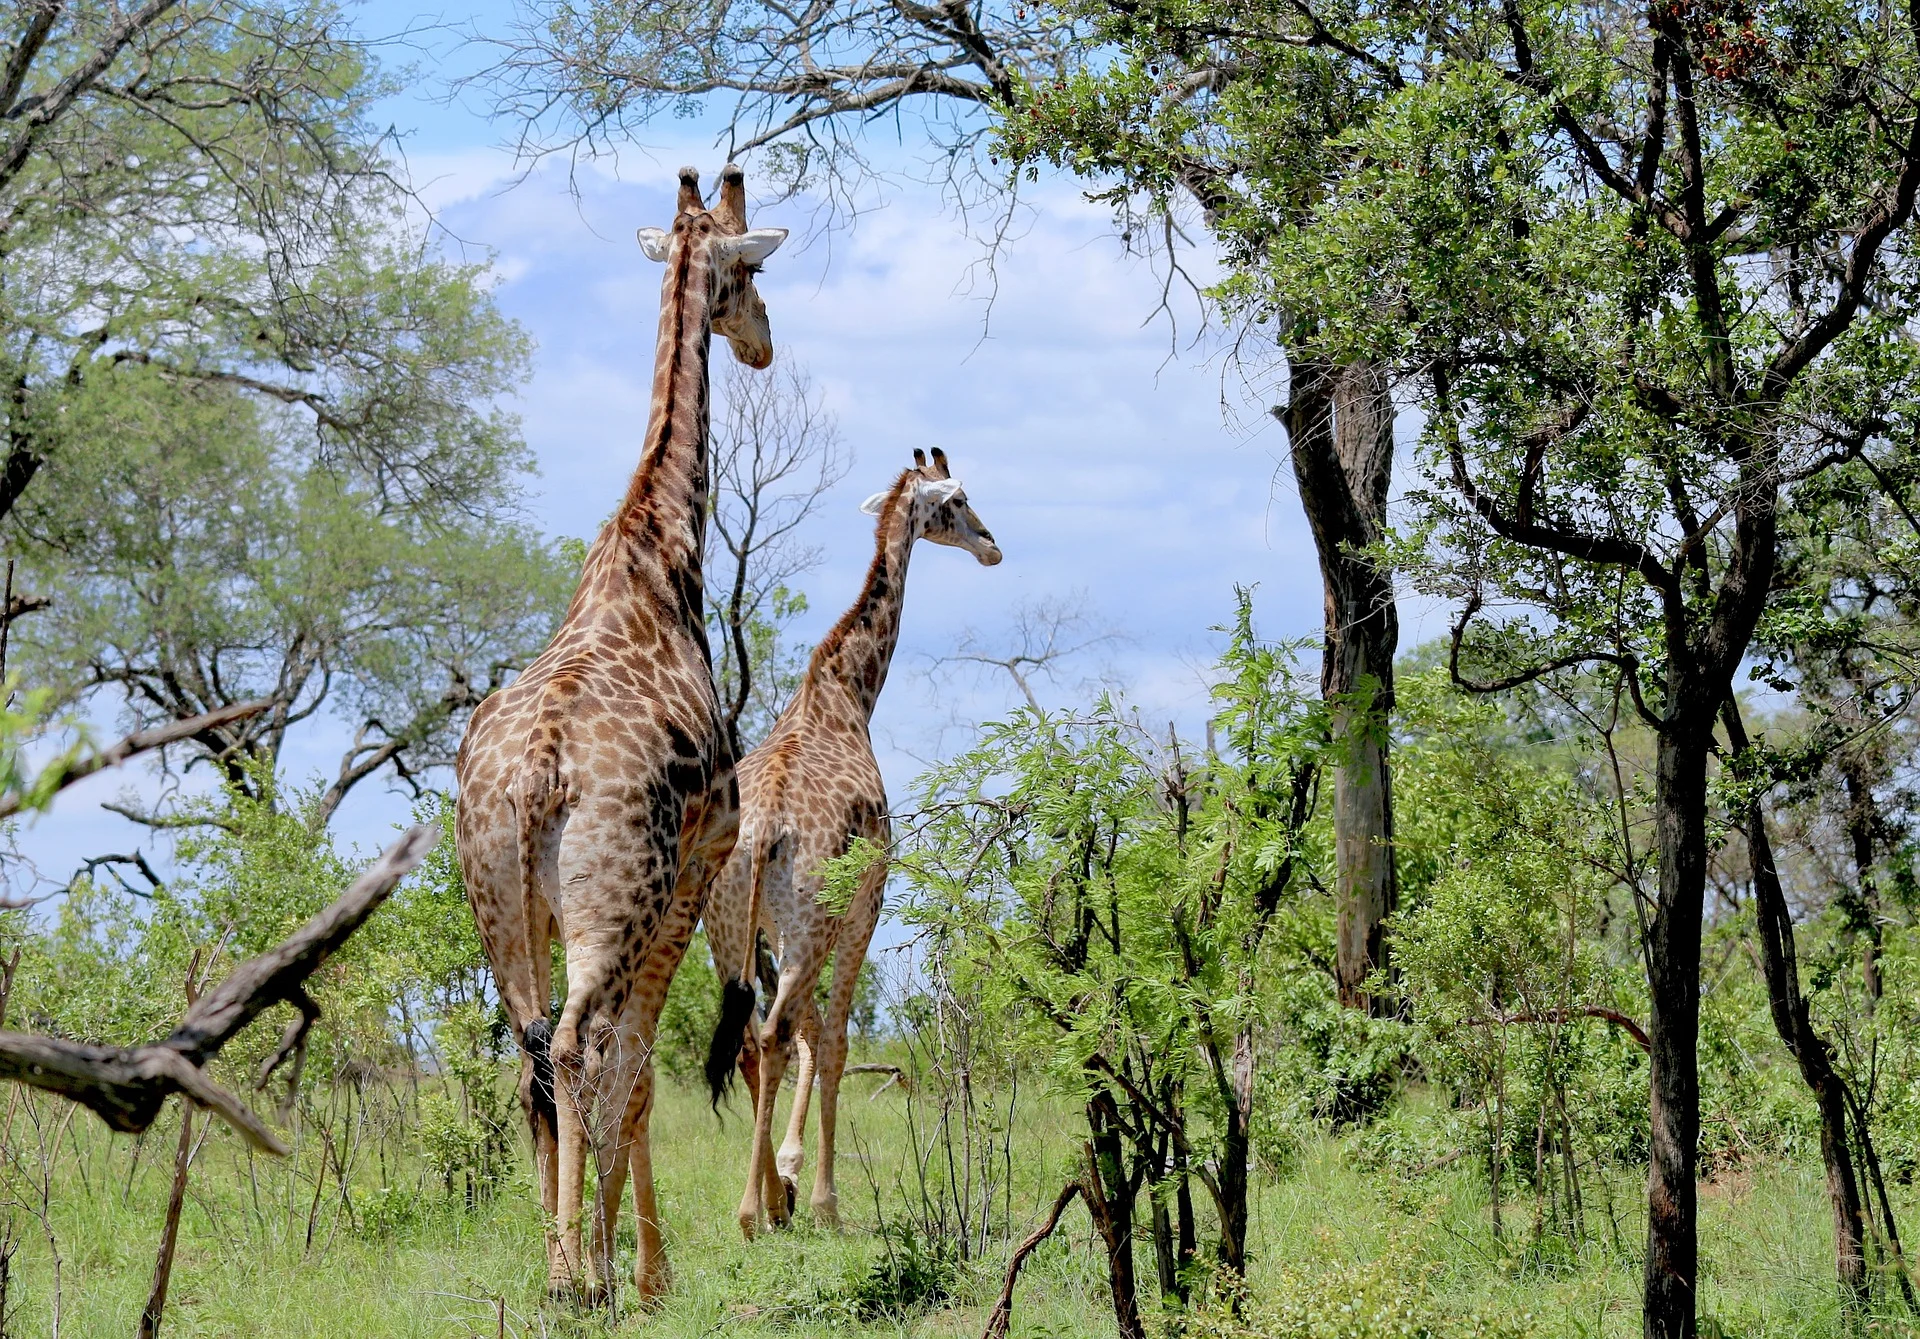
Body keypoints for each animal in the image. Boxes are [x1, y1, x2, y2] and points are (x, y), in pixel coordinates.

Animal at [456, 162, 787, 1298]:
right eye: (750, 272)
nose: (765, 343)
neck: (659, 545)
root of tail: (537, 774)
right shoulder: (701, 860)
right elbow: (640, 1067)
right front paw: (642, 1270)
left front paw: (615, 1253)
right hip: (622, 895)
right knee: (580, 1045)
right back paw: (575, 1278)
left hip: (500, 904)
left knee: (529, 1047)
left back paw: (557, 1262)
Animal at [706, 445, 1006, 1229]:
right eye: (957, 500)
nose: (993, 545)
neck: (847, 690)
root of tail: (763, 829)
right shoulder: (866, 901)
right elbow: (836, 1036)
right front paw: (823, 1198)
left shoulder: (781, 926)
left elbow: (814, 1032)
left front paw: (788, 1180)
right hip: (810, 919)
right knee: (779, 1031)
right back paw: (755, 1210)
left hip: (727, 922)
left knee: (752, 1036)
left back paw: (763, 1202)